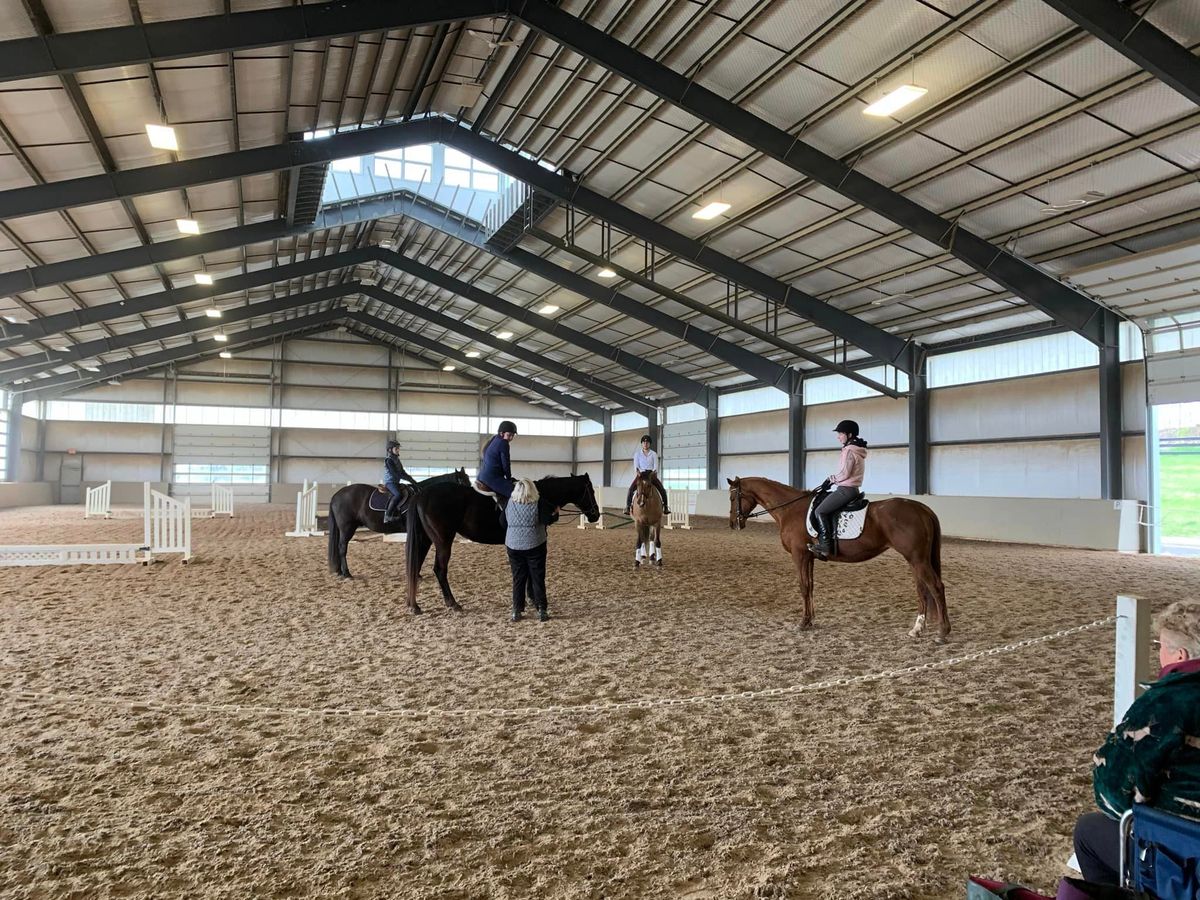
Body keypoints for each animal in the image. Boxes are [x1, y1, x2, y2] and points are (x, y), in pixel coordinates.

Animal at [326, 468, 470, 580]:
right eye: (463, 482)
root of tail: (337, 494)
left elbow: (421, 553)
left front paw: (417, 574)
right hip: (347, 528)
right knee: (342, 547)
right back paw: (346, 573)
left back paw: (340, 571)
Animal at [403, 475, 600, 619]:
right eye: (590, 490)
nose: (596, 515)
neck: (538, 496)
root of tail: (421, 494)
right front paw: (533, 599)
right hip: (443, 541)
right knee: (440, 570)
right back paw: (453, 603)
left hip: (425, 539)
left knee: (415, 567)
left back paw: (414, 605)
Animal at [724, 475, 950, 643]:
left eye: (733, 498)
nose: (733, 523)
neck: (790, 510)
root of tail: (922, 509)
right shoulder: (809, 556)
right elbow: (810, 586)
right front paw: (811, 620)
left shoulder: (799, 555)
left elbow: (803, 587)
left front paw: (803, 623)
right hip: (915, 560)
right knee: (922, 590)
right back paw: (917, 629)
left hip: (917, 559)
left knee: (936, 587)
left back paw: (942, 632)